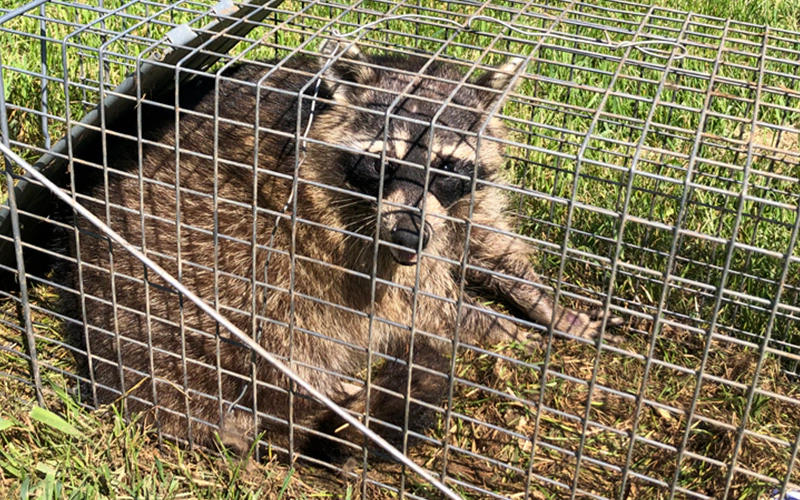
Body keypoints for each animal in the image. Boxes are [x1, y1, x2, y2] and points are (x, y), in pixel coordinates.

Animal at [59, 41, 622, 462]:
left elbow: (487, 242)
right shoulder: (336, 226)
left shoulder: (462, 202)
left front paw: (548, 308)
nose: (408, 239)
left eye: (445, 167)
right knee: (280, 309)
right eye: (382, 165)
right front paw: (496, 328)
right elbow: (422, 306)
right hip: (185, 273)